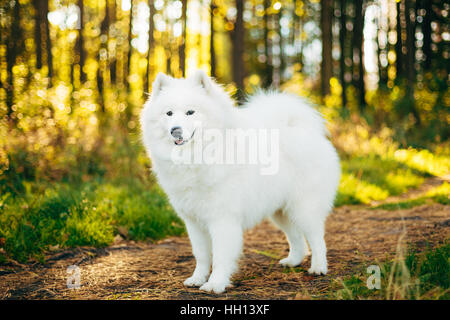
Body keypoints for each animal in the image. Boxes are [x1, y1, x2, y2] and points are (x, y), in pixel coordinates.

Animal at [141, 71, 342, 294]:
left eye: (190, 112)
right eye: (168, 113)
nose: (175, 130)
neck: (198, 155)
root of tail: (305, 131)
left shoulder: (222, 219)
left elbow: (220, 257)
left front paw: (216, 284)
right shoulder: (194, 221)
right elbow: (201, 255)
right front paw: (197, 278)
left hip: (304, 208)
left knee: (317, 239)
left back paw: (318, 268)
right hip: (280, 211)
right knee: (297, 238)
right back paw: (293, 261)